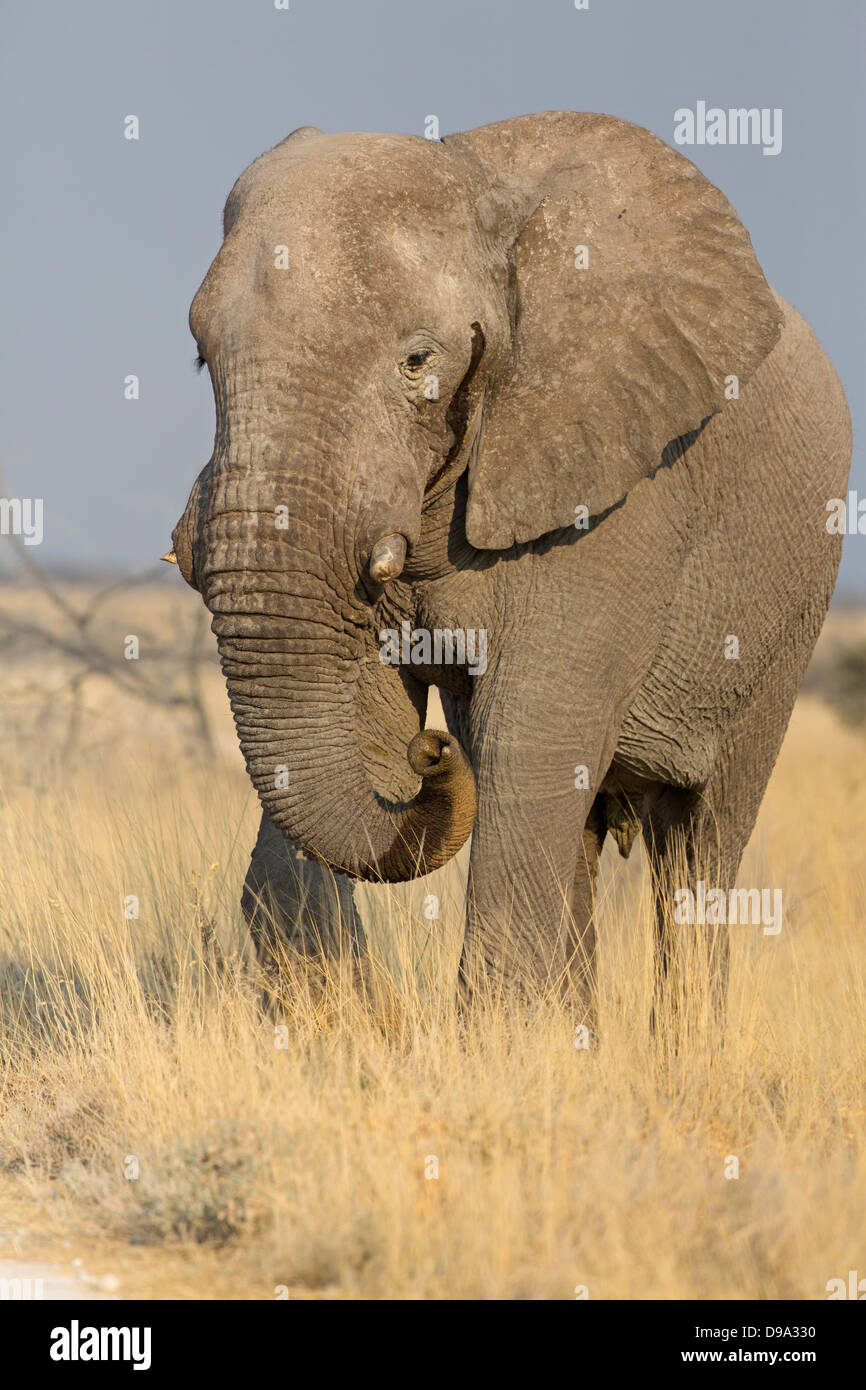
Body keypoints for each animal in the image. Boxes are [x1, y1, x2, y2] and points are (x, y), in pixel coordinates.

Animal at [170, 111, 856, 1023]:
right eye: (203, 358)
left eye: (419, 361)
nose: (433, 754)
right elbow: (360, 732)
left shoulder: (616, 495)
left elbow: (527, 736)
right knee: (582, 835)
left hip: (787, 618)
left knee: (698, 848)